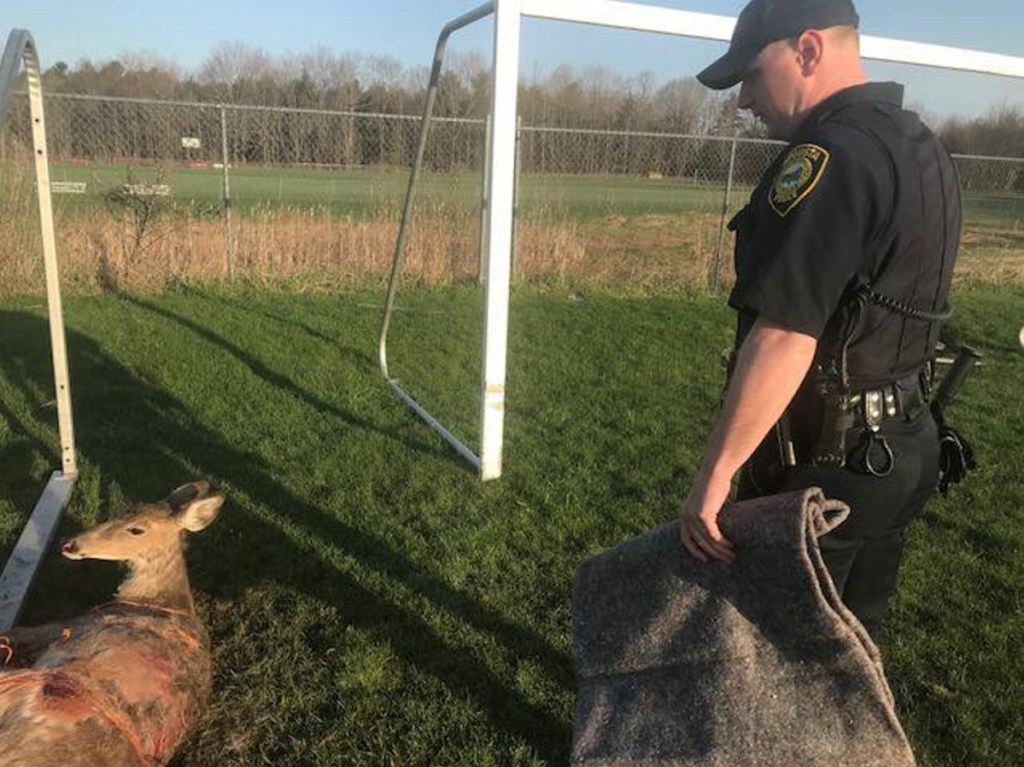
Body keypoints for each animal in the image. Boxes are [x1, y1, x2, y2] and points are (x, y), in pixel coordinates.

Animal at [0, 481, 224, 767]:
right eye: (122, 510)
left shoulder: (77, 622)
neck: (156, 598)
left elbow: (19, 631)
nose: (70, 545)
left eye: (137, 529)